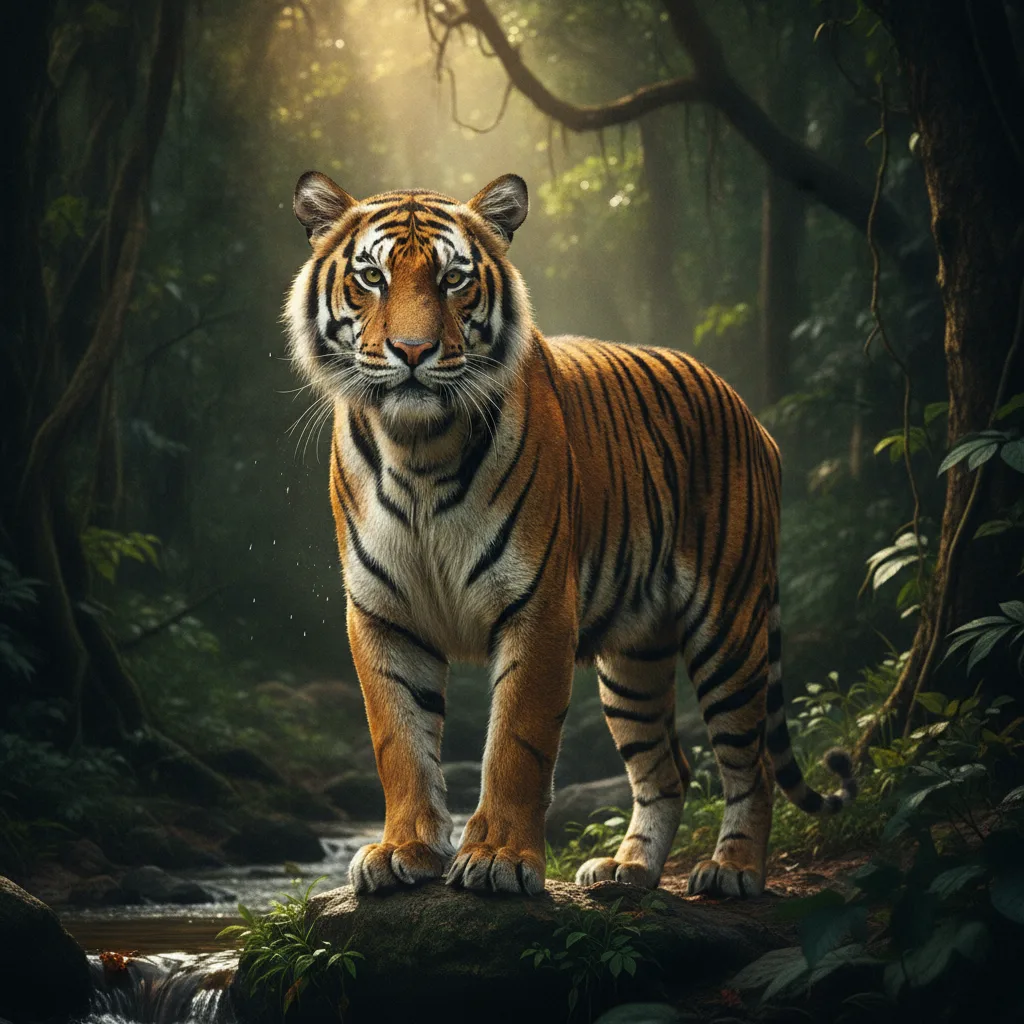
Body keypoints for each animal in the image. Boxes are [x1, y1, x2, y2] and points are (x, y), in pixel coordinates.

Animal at [284, 169, 856, 899]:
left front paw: (498, 859)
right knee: (668, 767)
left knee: (748, 761)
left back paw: (733, 870)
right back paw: (628, 870)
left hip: (730, 630)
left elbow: (517, 744)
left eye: (452, 279)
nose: (412, 353)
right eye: (372, 278)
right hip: (635, 659)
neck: (418, 450)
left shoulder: (540, 607)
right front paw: (402, 851)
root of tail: (751, 416)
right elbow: (399, 742)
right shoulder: (384, 615)